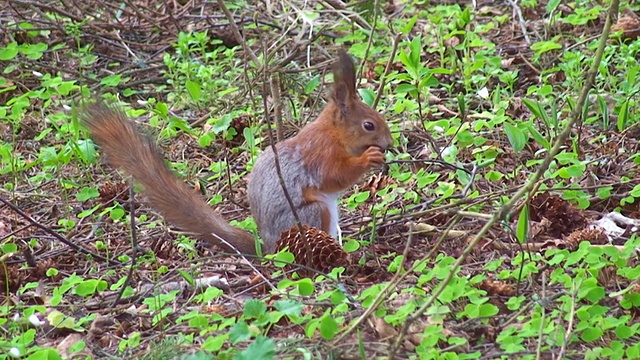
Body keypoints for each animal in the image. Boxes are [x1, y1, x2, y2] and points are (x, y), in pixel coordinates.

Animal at [80, 50, 390, 256]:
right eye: (368, 125)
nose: (388, 143)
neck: (334, 134)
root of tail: (268, 246)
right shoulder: (320, 154)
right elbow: (336, 175)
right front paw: (369, 158)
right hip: (312, 214)